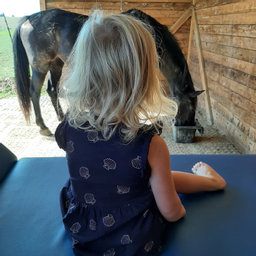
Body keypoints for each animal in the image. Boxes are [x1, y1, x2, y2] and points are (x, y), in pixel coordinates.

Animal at [13, 8, 203, 135]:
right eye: (191, 106)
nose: (185, 124)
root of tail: (29, 18)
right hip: (40, 65)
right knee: (34, 92)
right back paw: (43, 127)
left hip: (56, 64)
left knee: (52, 90)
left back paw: (60, 117)